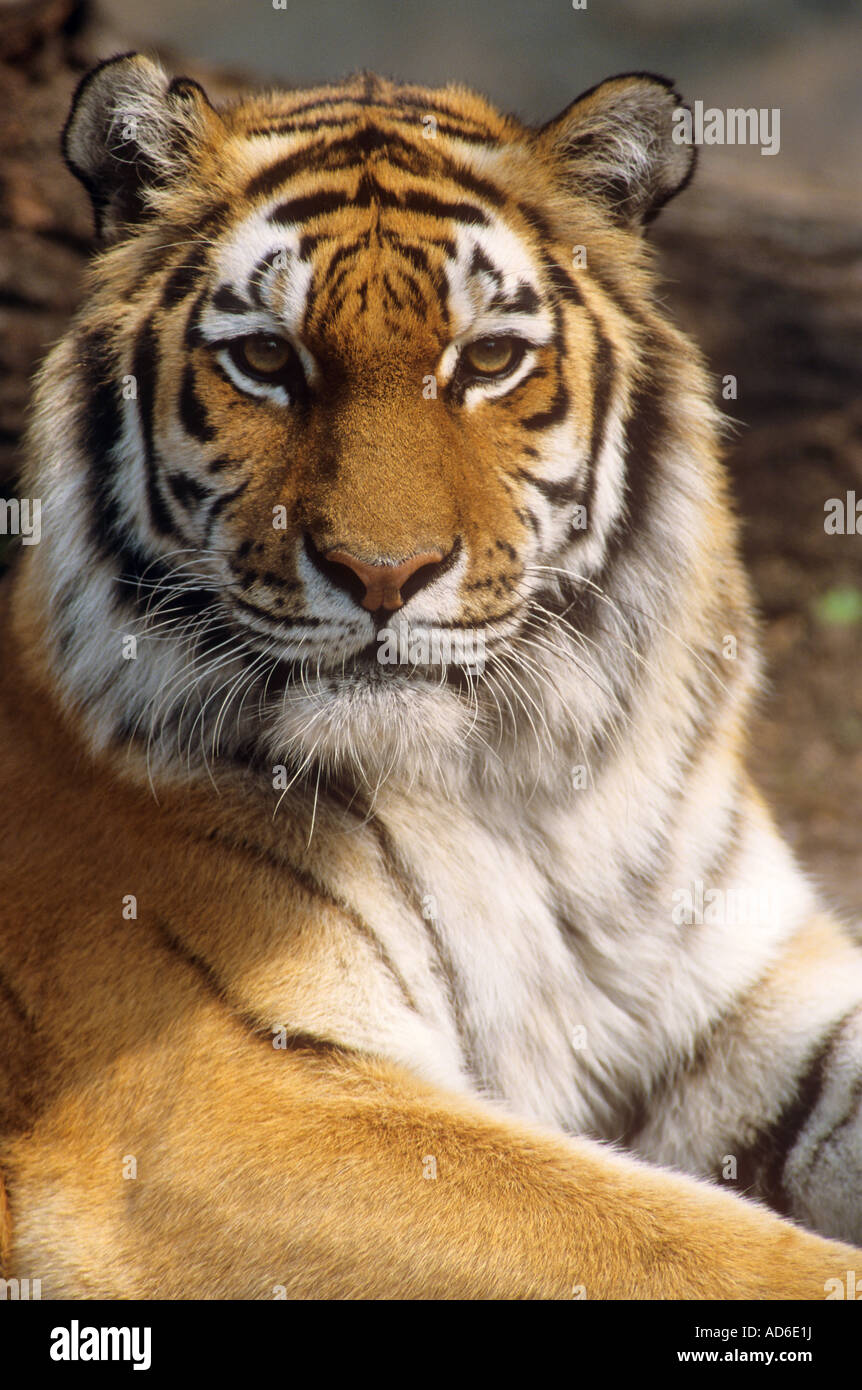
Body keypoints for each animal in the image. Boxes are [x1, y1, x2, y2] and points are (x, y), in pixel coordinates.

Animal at [1, 46, 862, 1301]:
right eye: (266, 359)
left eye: (488, 360)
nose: (382, 572)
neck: (515, 790)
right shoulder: (225, 1098)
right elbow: (684, 1241)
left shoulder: (749, 999)